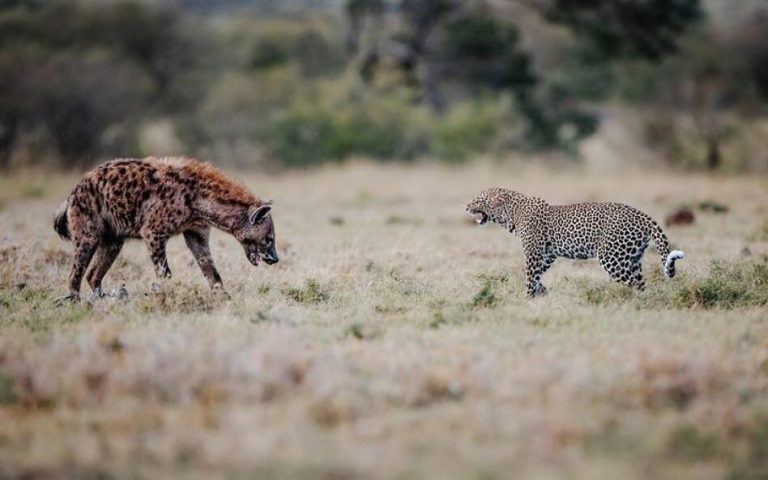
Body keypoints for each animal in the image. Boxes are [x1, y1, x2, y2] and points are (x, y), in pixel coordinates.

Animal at [466, 188, 685, 297]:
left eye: (478, 199)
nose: (466, 206)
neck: (511, 214)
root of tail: (643, 215)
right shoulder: (547, 255)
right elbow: (536, 275)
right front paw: (541, 292)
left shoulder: (534, 253)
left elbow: (529, 276)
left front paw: (527, 298)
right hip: (632, 257)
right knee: (641, 283)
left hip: (611, 258)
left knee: (633, 283)